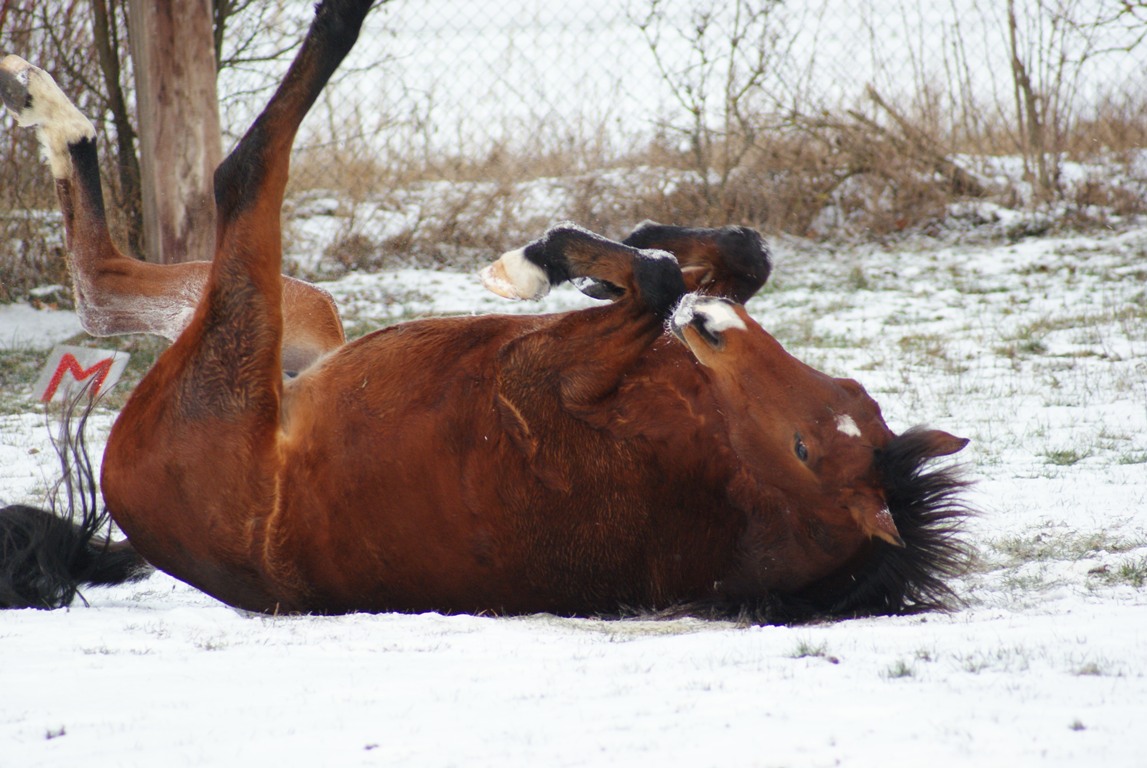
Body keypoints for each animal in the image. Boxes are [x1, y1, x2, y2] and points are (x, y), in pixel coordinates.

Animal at [0, 0, 972, 623]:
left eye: (805, 450)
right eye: (842, 397)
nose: (713, 334)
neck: (713, 470)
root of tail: (136, 502)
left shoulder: (553, 372)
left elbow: (656, 283)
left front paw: (541, 263)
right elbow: (733, 255)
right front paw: (611, 253)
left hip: (238, 339)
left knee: (231, 179)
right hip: (304, 327)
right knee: (103, 284)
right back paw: (47, 103)